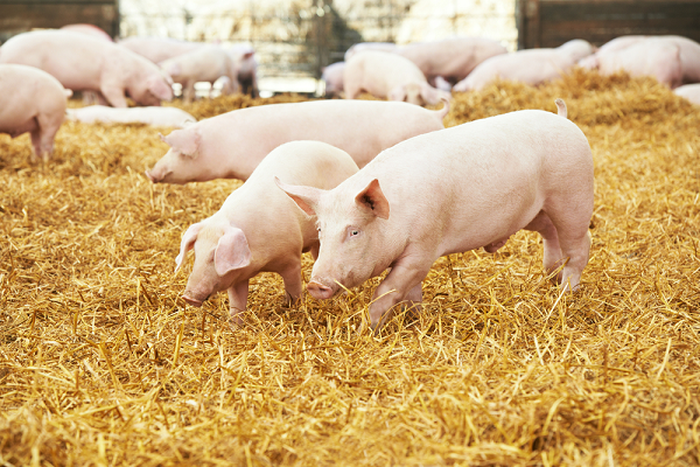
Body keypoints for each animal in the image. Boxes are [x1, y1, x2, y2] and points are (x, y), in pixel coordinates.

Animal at [0, 30, 173, 108]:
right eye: (152, 93)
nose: (159, 107)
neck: (134, 74)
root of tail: (4, 50)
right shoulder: (111, 83)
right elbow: (118, 99)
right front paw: (123, 108)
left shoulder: (100, 87)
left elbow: (102, 100)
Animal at [176, 141, 359, 324]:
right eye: (196, 254)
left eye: (214, 256)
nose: (188, 296)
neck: (260, 262)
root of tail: (341, 153)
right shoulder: (237, 276)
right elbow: (237, 305)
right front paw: (235, 326)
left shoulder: (292, 258)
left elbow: (293, 290)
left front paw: (294, 309)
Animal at [277, 99, 594, 331]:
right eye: (320, 229)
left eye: (354, 230)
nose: (315, 284)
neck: (397, 216)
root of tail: (563, 118)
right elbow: (410, 294)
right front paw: (415, 320)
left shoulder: (423, 248)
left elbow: (387, 290)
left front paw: (365, 330)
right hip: (535, 211)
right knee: (550, 234)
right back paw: (551, 276)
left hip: (573, 196)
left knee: (579, 246)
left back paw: (566, 293)